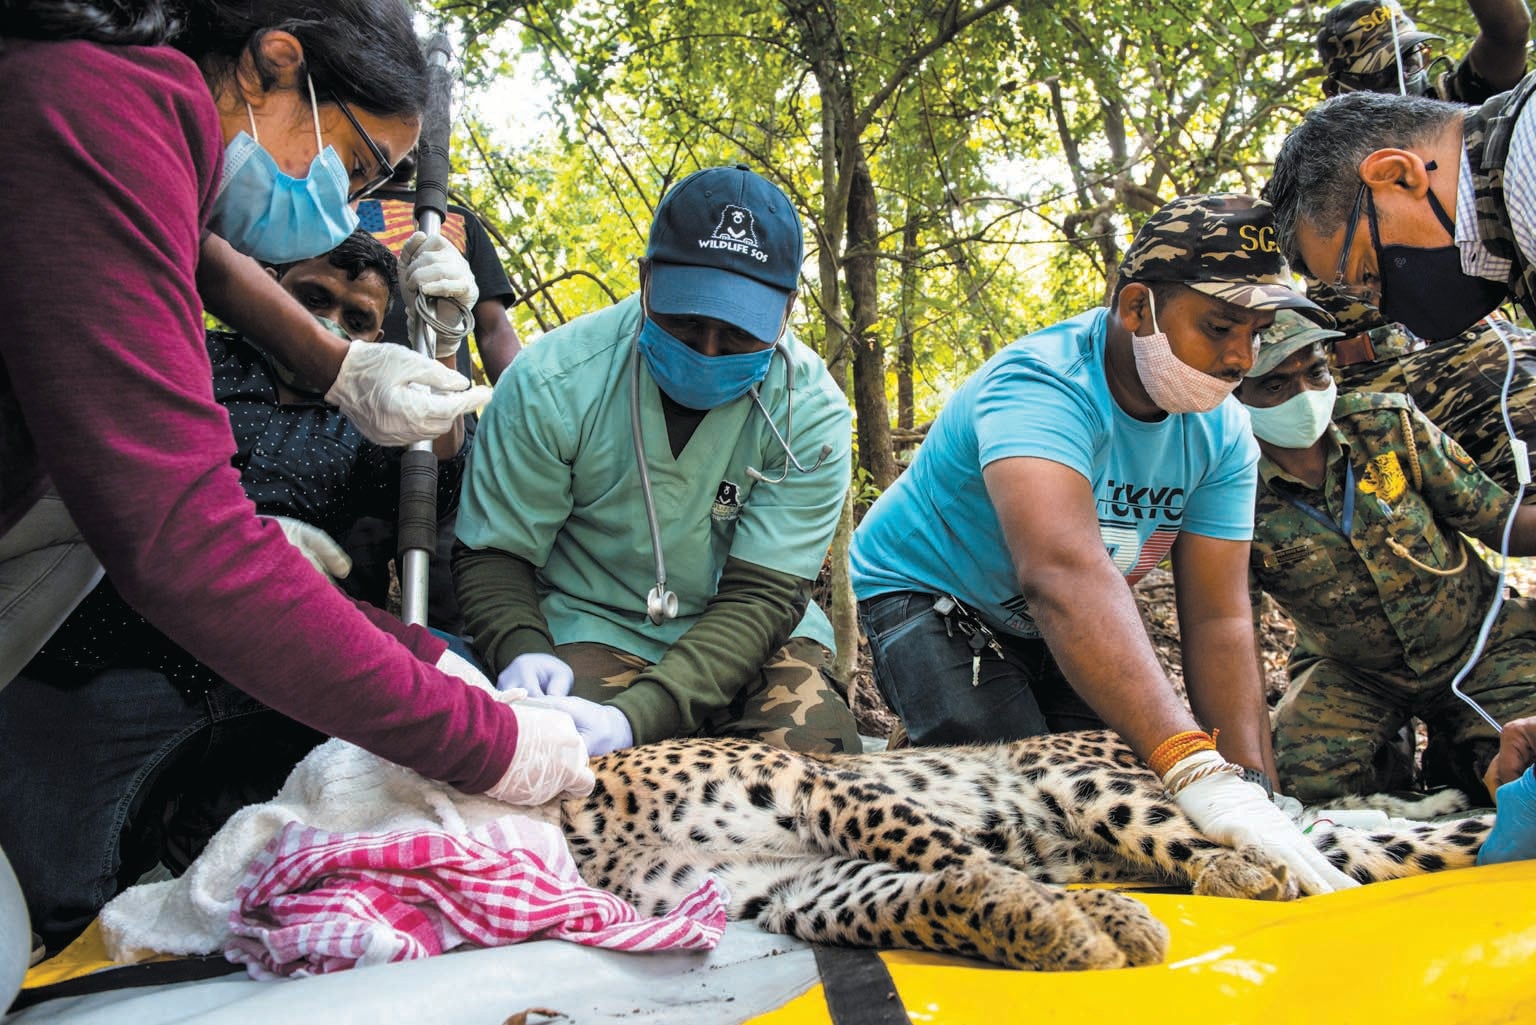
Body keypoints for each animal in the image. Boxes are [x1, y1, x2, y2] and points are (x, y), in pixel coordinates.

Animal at [559, 728, 1492, 971]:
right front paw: (1057, 931)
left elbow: (954, 852)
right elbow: (934, 898)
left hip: (1087, 779)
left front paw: (1100, 917)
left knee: (1207, 838)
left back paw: (1243, 868)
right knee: (1367, 845)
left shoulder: (812, 787)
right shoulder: (795, 888)